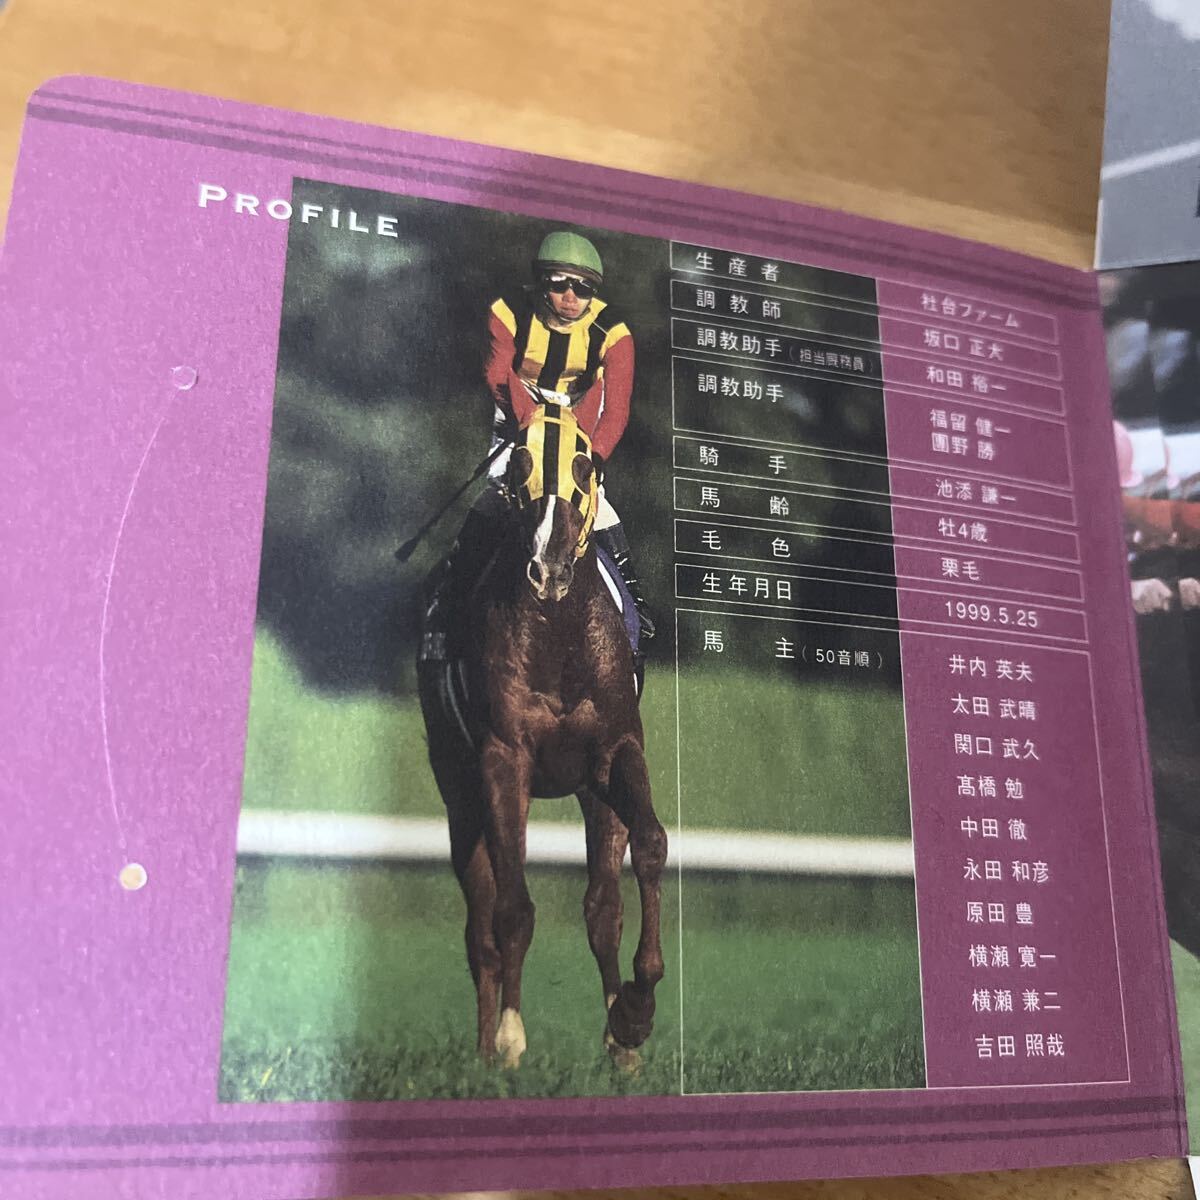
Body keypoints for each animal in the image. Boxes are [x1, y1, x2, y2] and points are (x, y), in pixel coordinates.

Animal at [417, 406, 667, 1070]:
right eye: (521, 465)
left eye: (584, 466)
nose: (549, 570)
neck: (559, 635)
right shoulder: (505, 760)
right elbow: (513, 909)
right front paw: (509, 1037)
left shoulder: (616, 750)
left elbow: (649, 848)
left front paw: (634, 1014)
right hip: (460, 794)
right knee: (480, 926)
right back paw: (485, 1051)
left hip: (592, 796)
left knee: (602, 908)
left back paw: (619, 1038)